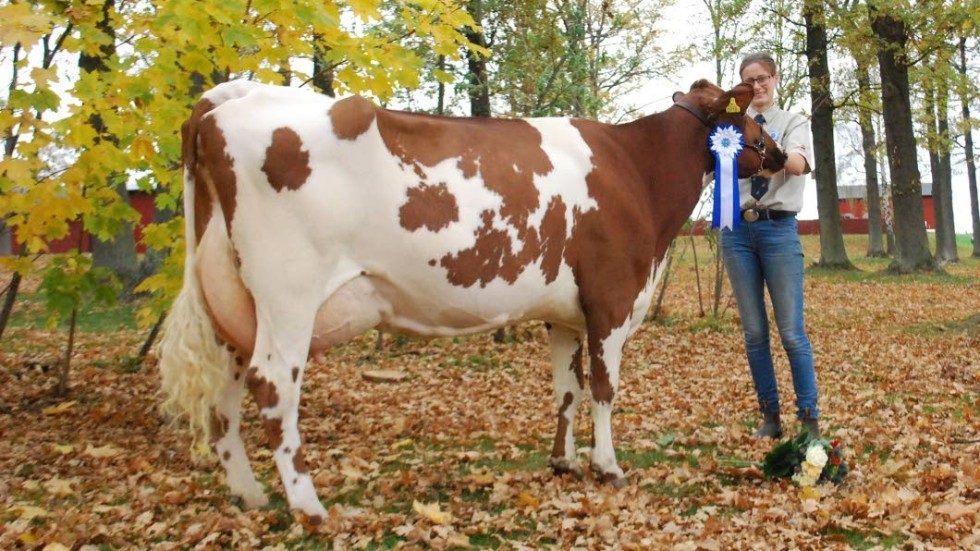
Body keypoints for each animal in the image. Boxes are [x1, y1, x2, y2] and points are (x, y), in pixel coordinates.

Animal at [163, 78, 788, 520]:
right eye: (744, 117)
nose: (780, 155)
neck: (636, 172)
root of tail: (230, 98)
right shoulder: (611, 300)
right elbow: (605, 390)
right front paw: (608, 466)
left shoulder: (564, 313)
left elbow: (567, 389)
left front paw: (563, 461)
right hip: (289, 292)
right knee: (273, 388)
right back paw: (308, 506)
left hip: (232, 304)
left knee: (225, 394)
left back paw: (248, 495)